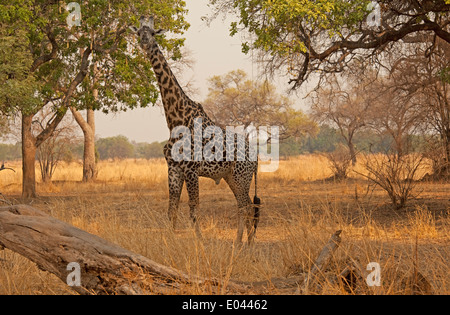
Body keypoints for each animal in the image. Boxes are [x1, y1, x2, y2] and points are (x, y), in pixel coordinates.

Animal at [129, 16, 260, 246]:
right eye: (138, 33)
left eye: (152, 33)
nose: (145, 42)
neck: (175, 119)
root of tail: (256, 156)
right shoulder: (173, 167)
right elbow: (172, 208)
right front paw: (169, 240)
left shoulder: (190, 169)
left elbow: (193, 207)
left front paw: (200, 241)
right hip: (232, 177)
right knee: (243, 206)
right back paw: (242, 243)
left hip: (241, 177)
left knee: (247, 206)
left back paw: (244, 244)